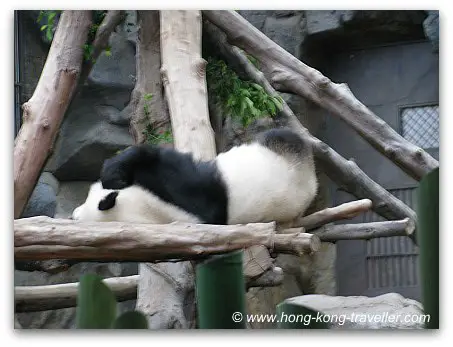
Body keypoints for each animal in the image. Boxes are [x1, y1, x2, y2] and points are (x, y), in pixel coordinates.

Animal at [71, 129, 318, 227]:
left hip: (282, 150)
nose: (74, 215)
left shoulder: (180, 185)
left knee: (280, 136)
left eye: (88, 199)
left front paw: (112, 175)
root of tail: (313, 183)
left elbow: (149, 155)